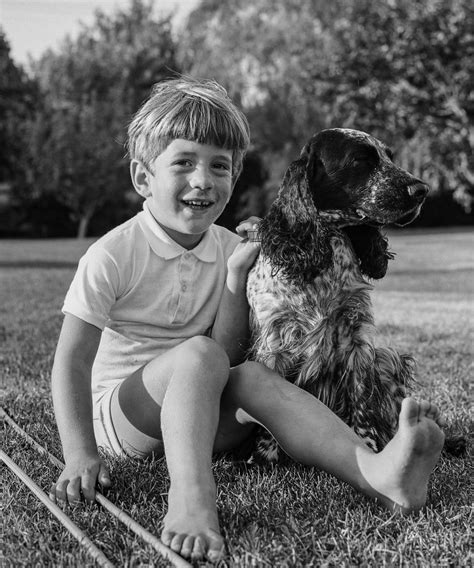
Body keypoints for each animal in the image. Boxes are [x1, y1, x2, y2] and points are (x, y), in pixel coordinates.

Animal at [246, 127, 464, 462]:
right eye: (360, 160)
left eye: (390, 157)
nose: (422, 190)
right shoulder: (275, 340)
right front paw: (263, 455)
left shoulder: (354, 338)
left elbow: (360, 401)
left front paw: (369, 447)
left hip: (385, 359)